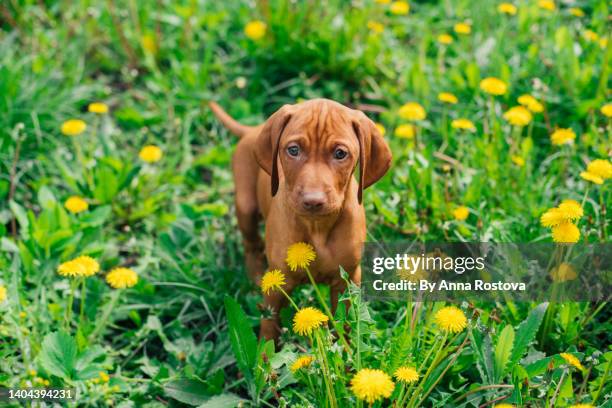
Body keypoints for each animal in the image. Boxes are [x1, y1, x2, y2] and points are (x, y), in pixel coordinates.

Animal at [209, 99, 392, 342]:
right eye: (293, 150)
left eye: (340, 153)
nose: (313, 201)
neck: (317, 228)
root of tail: (253, 130)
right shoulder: (278, 281)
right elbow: (269, 325)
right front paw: (264, 352)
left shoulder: (347, 279)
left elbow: (346, 324)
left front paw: (349, 352)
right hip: (245, 206)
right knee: (251, 244)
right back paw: (255, 276)